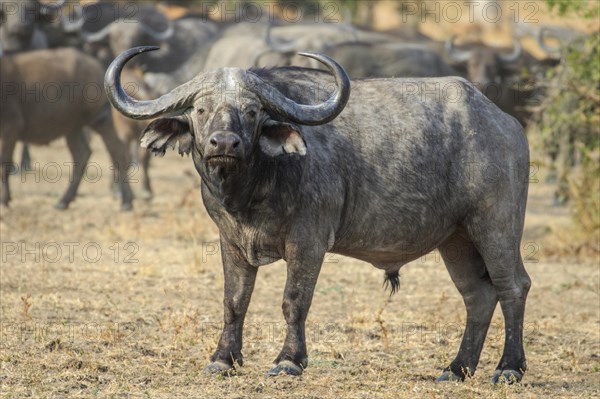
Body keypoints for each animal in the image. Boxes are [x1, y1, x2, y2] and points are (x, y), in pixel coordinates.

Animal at [106, 46, 528, 384]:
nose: (224, 142)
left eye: (252, 110)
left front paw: (288, 361)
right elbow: (233, 301)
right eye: (200, 109)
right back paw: (457, 368)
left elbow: (294, 300)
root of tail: (506, 125)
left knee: (513, 286)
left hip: (496, 226)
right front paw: (223, 359)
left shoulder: (308, 242)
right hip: (456, 239)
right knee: (477, 295)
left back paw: (508, 368)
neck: (253, 189)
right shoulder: (231, 242)